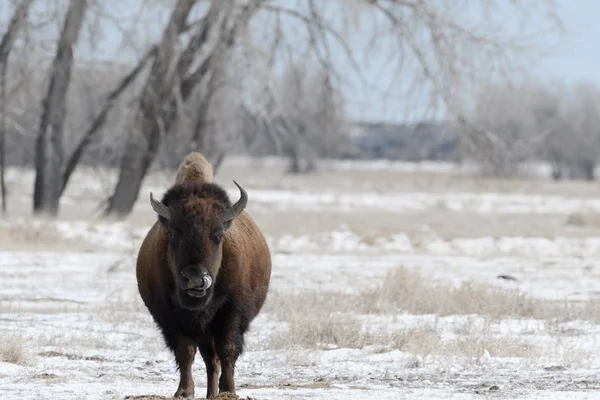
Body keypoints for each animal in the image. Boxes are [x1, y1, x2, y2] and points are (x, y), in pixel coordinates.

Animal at [136, 152, 272, 396]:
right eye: (172, 232)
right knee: (209, 359)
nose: (195, 278)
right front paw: (184, 391)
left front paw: (228, 391)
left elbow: (228, 349)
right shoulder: (172, 317)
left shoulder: (232, 312)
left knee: (214, 359)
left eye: (218, 234)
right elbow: (185, 351)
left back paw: (214, 392)